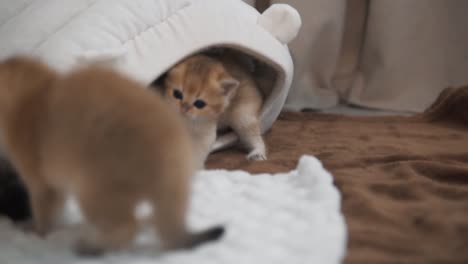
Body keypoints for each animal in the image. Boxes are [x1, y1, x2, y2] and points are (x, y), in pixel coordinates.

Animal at [0, 56, 224, 256]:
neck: (35, 93)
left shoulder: (43, 184)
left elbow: (44, 212)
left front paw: (35, 232)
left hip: (93, 190)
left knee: (128, 227)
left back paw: (92, 246)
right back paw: (144, 222)